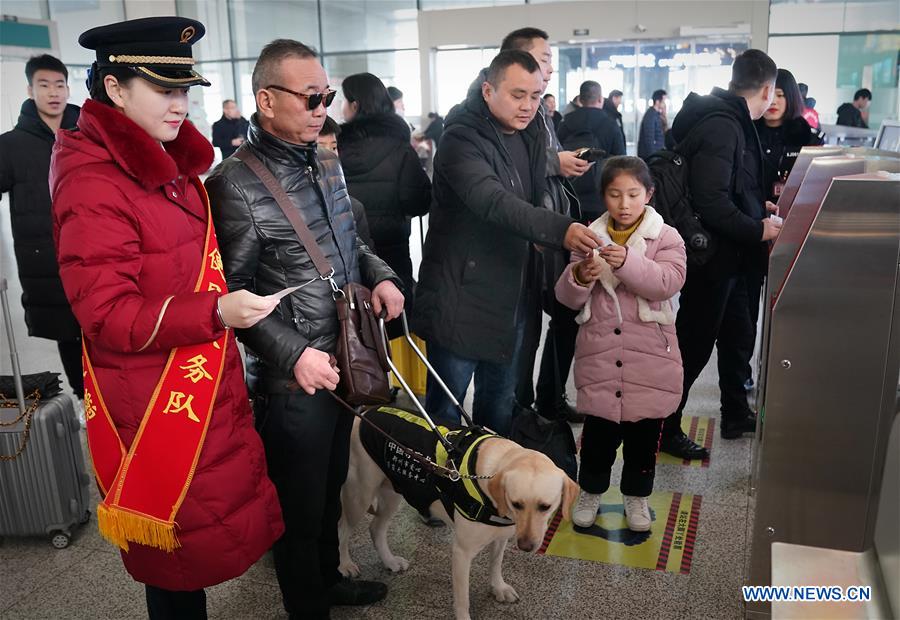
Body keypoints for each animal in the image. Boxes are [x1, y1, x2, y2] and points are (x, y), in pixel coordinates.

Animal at [338, 412, 576, 620]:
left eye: (545, 507)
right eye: (517, 504)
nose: (526, 546)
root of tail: (365, 412)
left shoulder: (500, 537)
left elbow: (495, 564)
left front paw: (498, 587)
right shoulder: (462, 552)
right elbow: (463, 599)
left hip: (393, 492)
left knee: (375, 528)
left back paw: (389, 561)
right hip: (360, 494)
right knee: (343, 529)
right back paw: (345, 564)